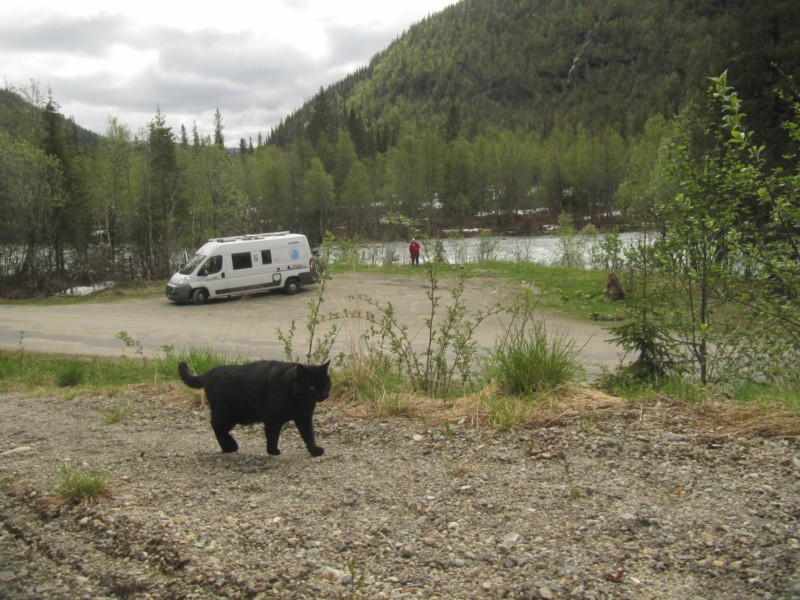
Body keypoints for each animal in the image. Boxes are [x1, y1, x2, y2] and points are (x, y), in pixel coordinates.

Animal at [179, 360, 332, 454]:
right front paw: (272, 451)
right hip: (228, 414)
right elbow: (272, 435)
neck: (299, 400)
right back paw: (230, 447)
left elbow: (309, 435)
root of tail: (208, 373)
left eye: (326, 384)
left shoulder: (304, 418)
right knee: (216, 426)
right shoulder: (272, 418)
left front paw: (314, 450)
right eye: (312, 387)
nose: (323, 394)